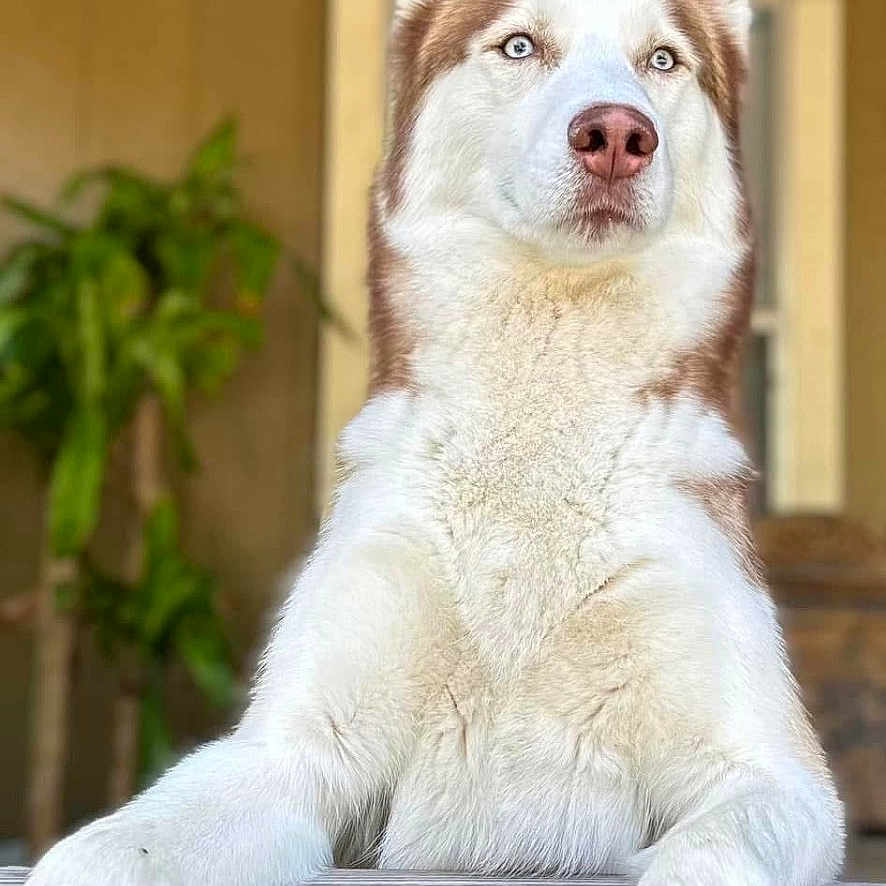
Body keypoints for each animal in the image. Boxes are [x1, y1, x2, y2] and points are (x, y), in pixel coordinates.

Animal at [30, 1, 845, 884]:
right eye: (519, 45)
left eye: (663, 60)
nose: (618, 134)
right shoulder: (292, 745)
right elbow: (132, 840)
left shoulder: (773, 773)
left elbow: (716, 848)